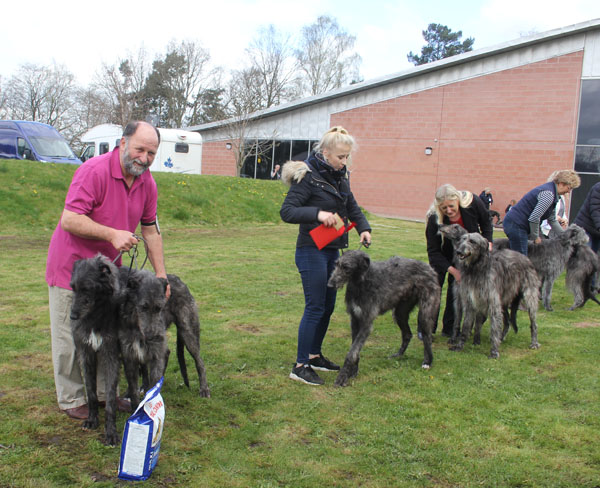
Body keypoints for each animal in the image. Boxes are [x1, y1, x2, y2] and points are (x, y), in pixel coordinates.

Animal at [69, 255, 125, 446]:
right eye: (73, 287)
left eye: (87, 288)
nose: (72, 317)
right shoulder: (86, 353)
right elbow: (91, 392)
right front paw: (92, 419)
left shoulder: (111, 355)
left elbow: (110, 398)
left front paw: (111, 432)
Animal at [328, 252, 440, 386]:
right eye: (336, 264)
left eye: (346, 267)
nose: (330, 284)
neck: (361, 282)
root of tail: (430, 268)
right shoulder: (354, 319)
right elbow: (355, 349)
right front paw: (353, 371)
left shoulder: (367, 322)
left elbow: (352, 352)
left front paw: (342, 377)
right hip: (400, 312)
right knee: (407, 334)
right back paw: (398, 355)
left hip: (425, 311)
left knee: (427, 336)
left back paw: (427, 362)